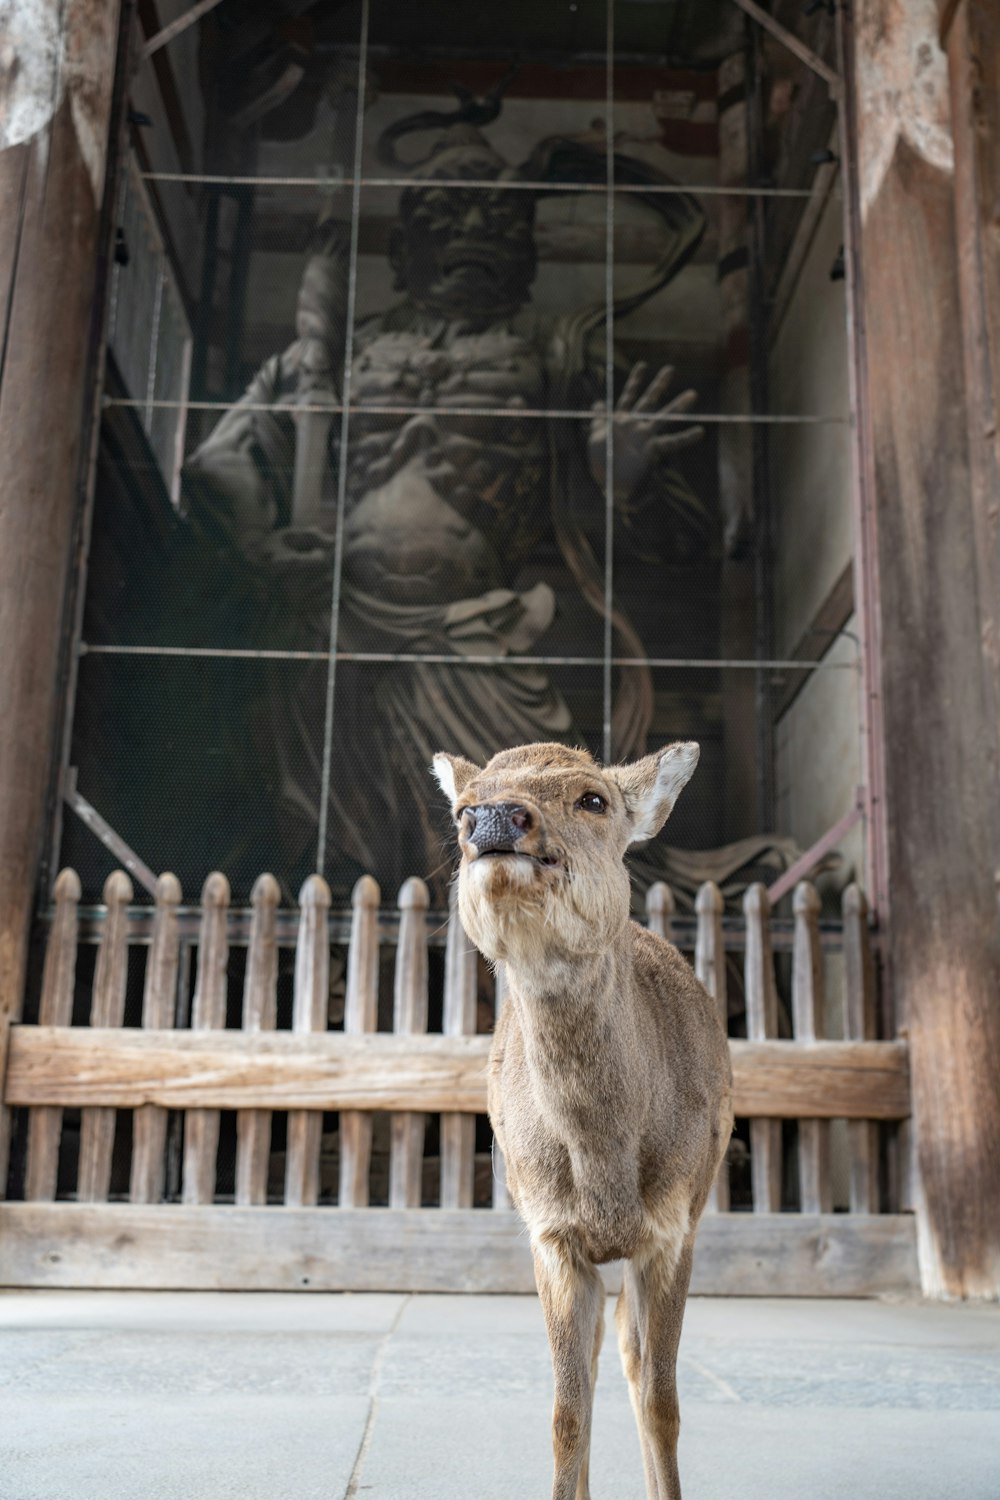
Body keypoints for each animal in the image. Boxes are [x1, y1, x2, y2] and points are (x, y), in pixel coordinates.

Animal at [434, 741, 731, 1500]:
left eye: (593, 798)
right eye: (459, 808)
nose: (493, 819)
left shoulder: (673, 1228)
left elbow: (662, 1401)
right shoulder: (550, 1234)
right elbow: (565, 1411)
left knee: (628, 1350)